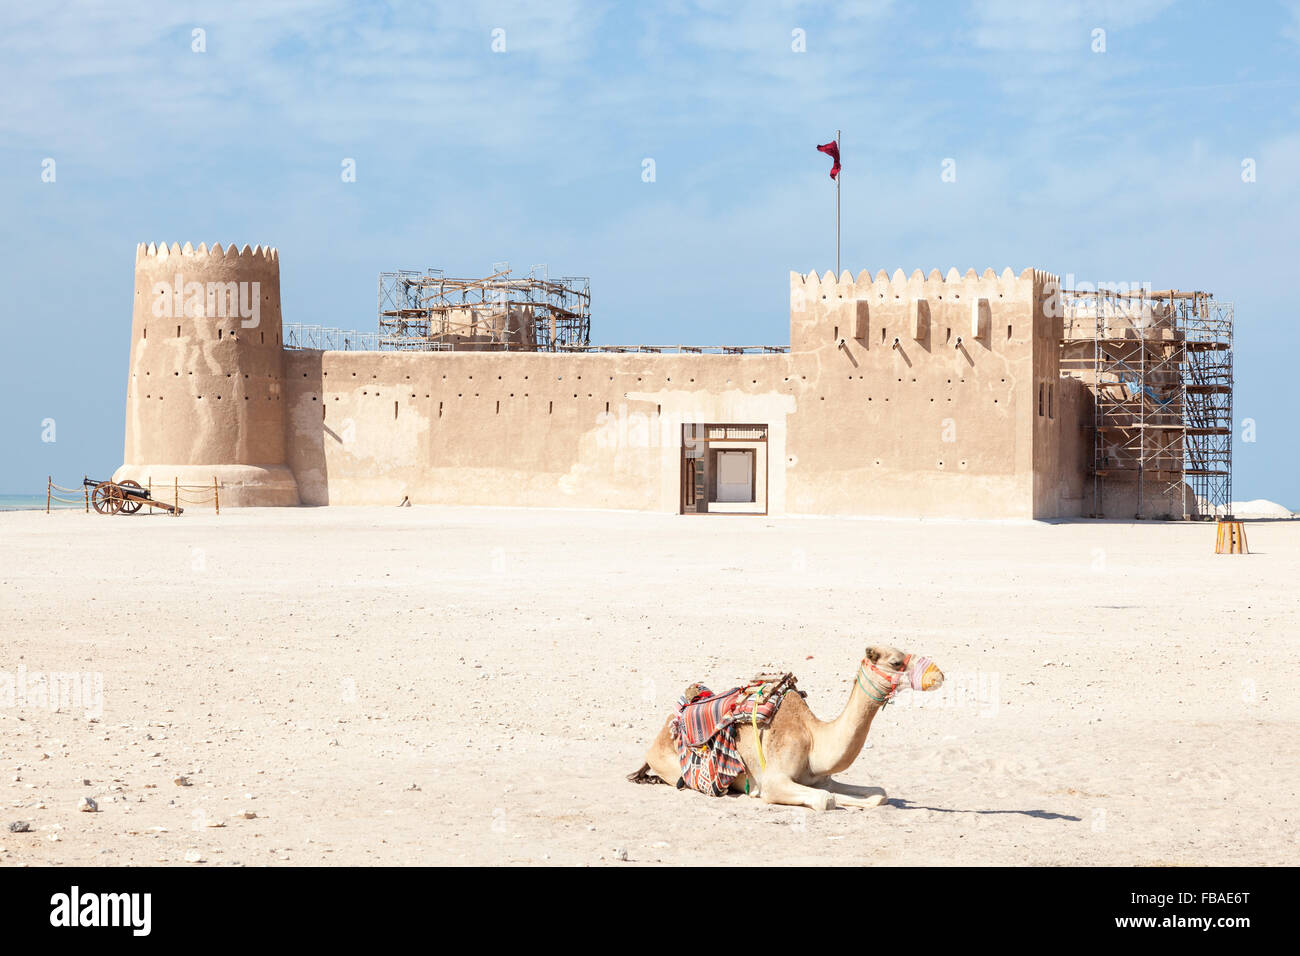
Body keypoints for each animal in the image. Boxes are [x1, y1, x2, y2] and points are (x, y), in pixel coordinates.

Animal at [629, 645, 943, 810]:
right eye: (896, 661)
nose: (938, 674)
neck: (814, 738)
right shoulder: (774, 780)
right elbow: (825, 801)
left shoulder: (821, 778)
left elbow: (876, 794)